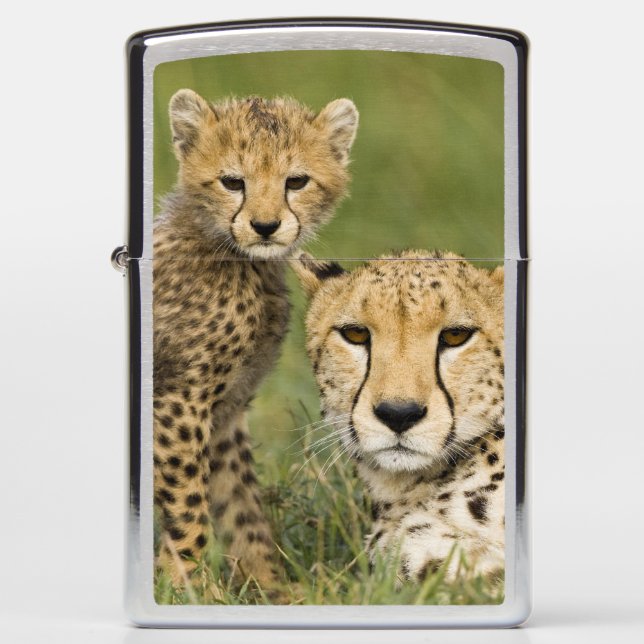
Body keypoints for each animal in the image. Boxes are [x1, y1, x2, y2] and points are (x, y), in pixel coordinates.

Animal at [152, 88, 358, 591]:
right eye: (232, 182)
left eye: (296, 181)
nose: (266, 227)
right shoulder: (177, 399)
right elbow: (187, 501)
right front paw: (187, 588)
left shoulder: (224, 412)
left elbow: (242, 505)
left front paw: (274, 587)